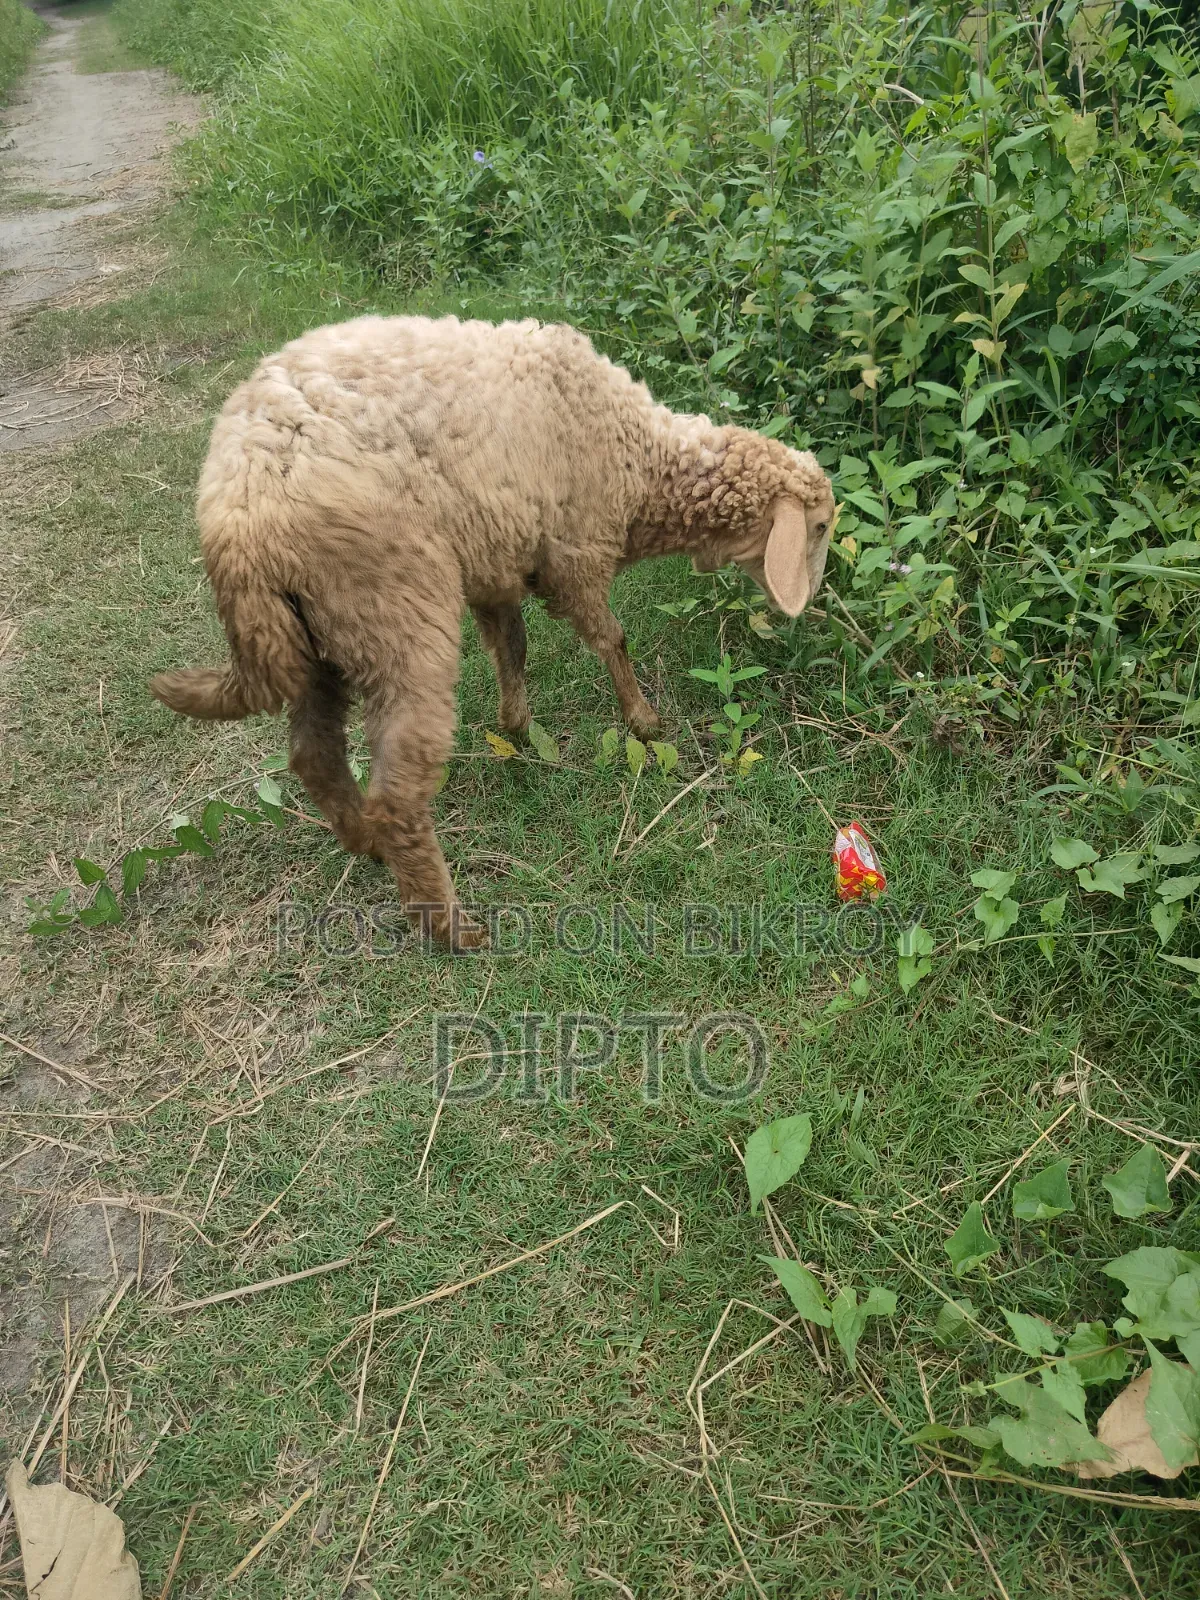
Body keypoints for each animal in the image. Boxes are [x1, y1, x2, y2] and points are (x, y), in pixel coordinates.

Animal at [150, 315, 836, 948]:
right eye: (823, 527)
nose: (812, 602)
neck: (642, 461)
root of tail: (237, 521)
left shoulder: (497, 562)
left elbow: (513, 646)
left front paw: (518, 729)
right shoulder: (576, 552)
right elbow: (611, 638)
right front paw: (643, 720)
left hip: (317, 637)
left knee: (314, 756)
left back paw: (366, 843)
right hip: (395, 612)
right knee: (400, 794)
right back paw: (451, 927)